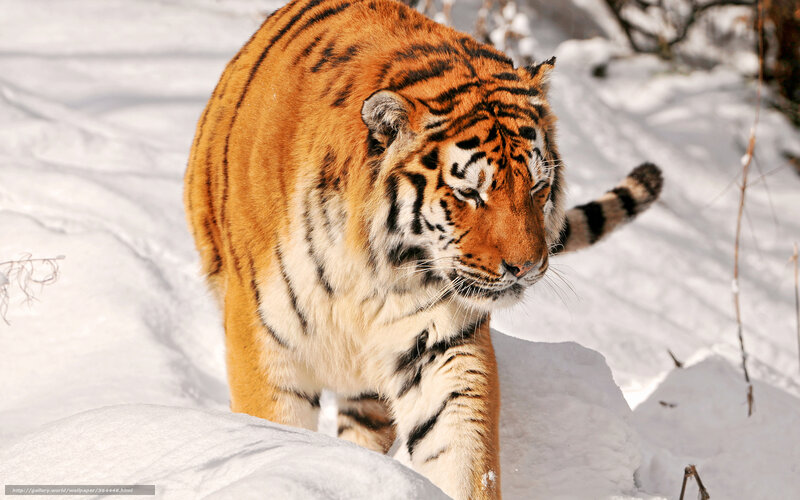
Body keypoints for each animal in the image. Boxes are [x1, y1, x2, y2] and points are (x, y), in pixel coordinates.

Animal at [183, 0, 663, 498]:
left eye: (538, 186)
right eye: (470, 193)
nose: (527, 267)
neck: (365, 267)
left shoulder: (439, 344)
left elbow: (461, 451)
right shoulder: (264, 343)